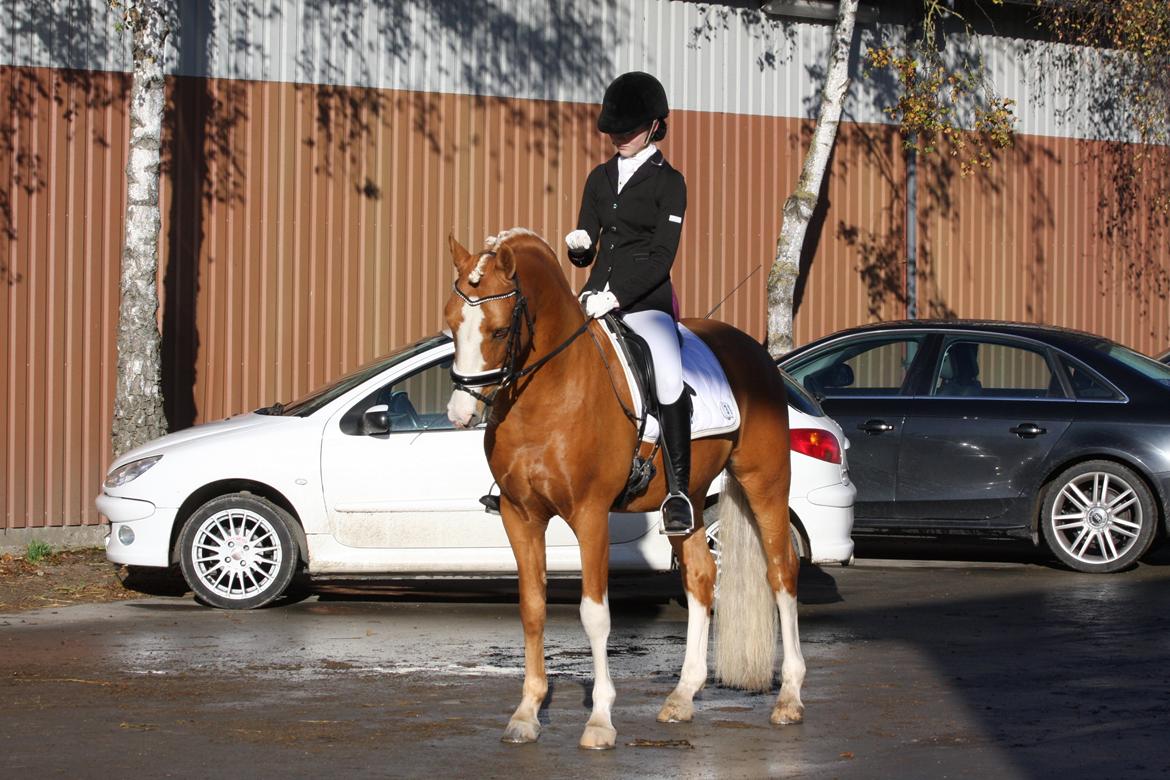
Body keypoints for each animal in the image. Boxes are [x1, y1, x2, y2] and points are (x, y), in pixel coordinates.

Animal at [443, 228, 803, 750]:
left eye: (497, 330)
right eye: (451, 323)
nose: (461, 413)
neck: (550, 391)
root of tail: (756, 354)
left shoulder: (591, 516)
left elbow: (595, 615)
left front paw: (599, 721)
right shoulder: (520, 515)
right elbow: (532, 608)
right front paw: (528, 712)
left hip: (766, 483)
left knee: (781, 575)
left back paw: (790, 698)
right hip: (689, 502)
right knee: (700, 578)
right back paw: (682, 696)